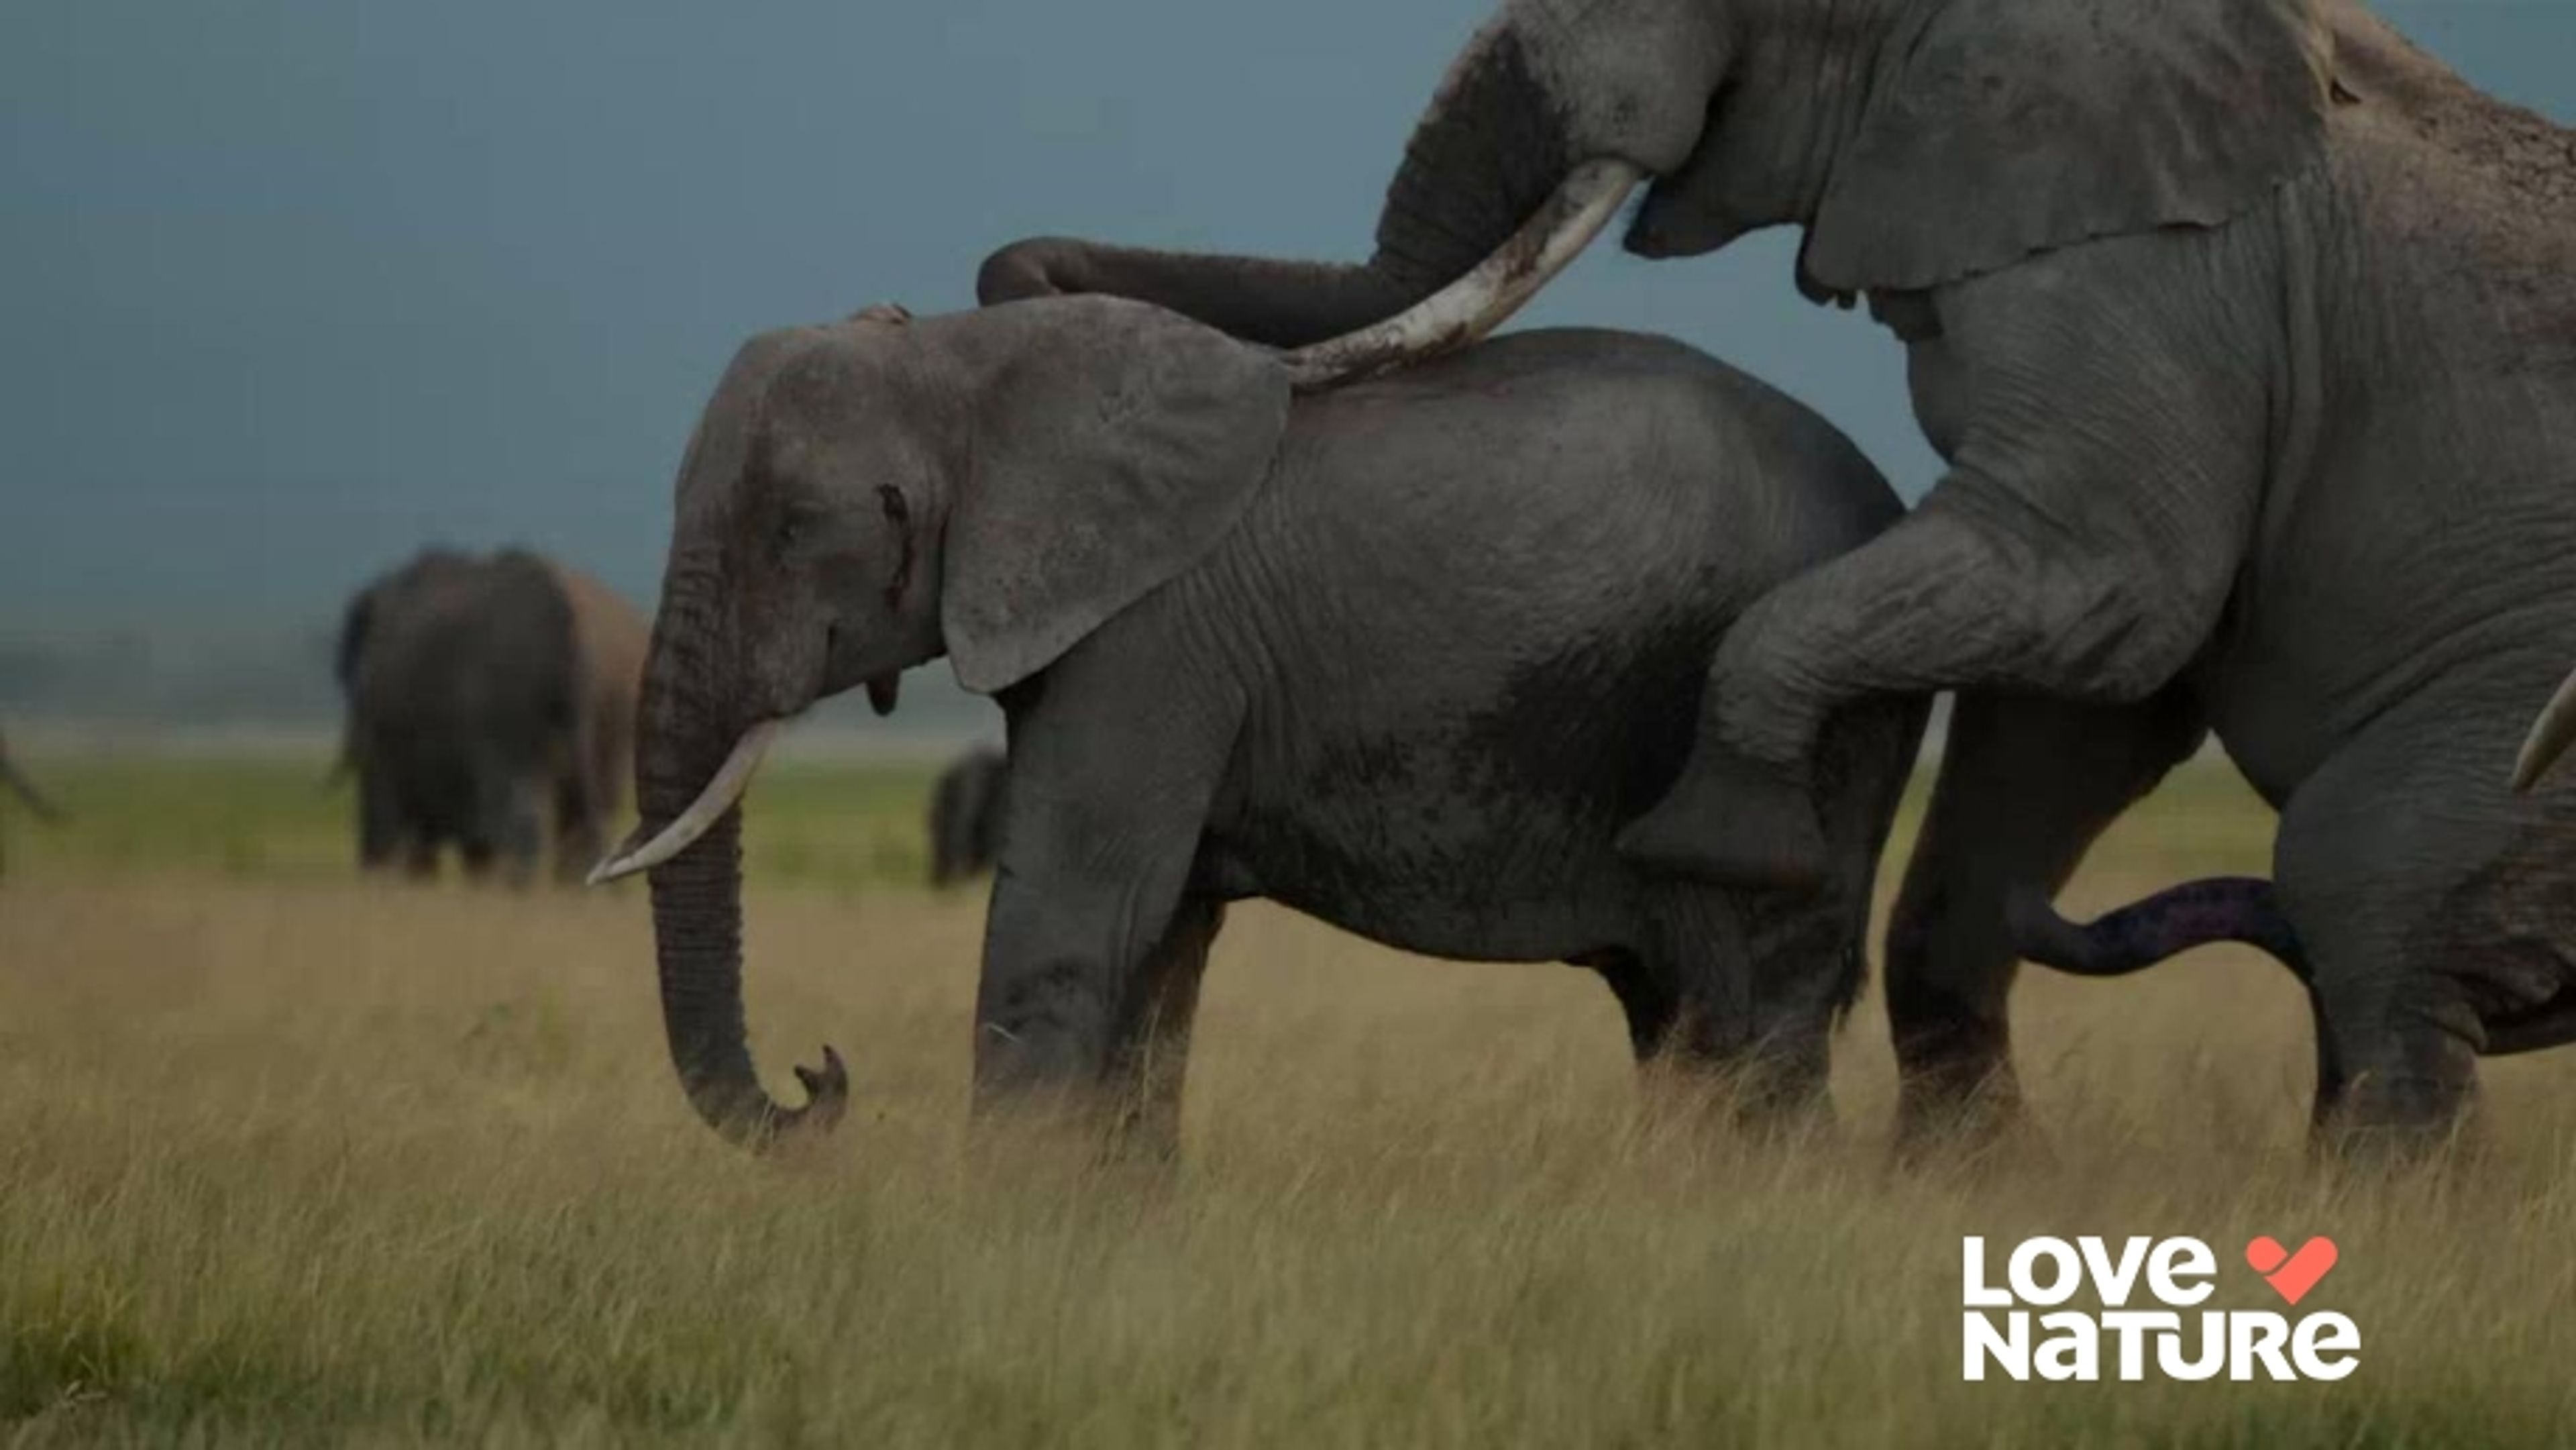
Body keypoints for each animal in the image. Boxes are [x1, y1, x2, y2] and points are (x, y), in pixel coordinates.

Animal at [976, 0, 2576, 1147]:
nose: (1018, 277)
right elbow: (2090, 692)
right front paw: (1965, 1191)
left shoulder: (2157, 277)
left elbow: (2101, 592)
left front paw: (1723, 839)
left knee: (2369, 884)